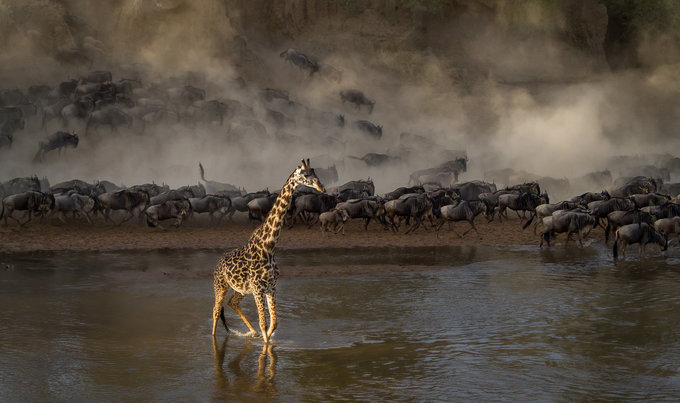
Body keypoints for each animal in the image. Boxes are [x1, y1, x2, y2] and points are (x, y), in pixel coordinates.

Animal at [211, 159, 326, 344]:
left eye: (315, 172)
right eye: (306, 174)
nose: (321, 187)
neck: (269, 246)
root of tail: (218, 263)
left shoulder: (271, 287)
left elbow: (273, 323)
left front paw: (266, 340)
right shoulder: (258, 288)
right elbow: (264, 323)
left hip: (241, 289)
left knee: (232, 303)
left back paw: (251, 332)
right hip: (221, 285)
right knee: (216, 311)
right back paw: (214, 338)